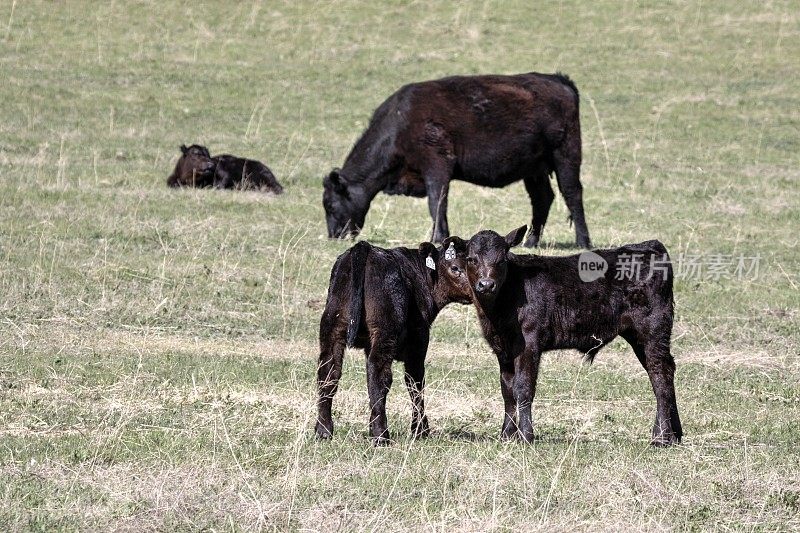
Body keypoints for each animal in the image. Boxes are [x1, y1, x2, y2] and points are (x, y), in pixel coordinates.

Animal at [316, 238, 472, 444]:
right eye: (455, 268)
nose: (481, 287)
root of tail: (364, 247)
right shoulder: (418, 343)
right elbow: (415, 383)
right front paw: (420, 430)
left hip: (332, 326)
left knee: (328, 373)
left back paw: (323, 430)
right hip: (386, 331)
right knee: (379, 376)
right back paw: (381, 435)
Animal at [322, 71, 592, 248]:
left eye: (330, 205)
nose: (334, 236)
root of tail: (558, 79)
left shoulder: (437, 166)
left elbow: (437, 203)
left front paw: (438, 238)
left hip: (566, 153)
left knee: (572, 193)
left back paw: (583, 242)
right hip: (534, 166)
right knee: (542, 198)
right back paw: (530, 242)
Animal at [468, 225, 680, 444]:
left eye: (502, 260)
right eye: (471, 259)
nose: (486, 284)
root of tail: (650, 245)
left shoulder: (529, 343)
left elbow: (523, 388)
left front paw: (526, 436)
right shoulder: (502, 349)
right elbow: (507, 390)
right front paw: (506, 435)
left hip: (653, 329)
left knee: (660, 373)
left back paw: (662, 437)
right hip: (638, 337)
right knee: (665, 369)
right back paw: (675, 434)